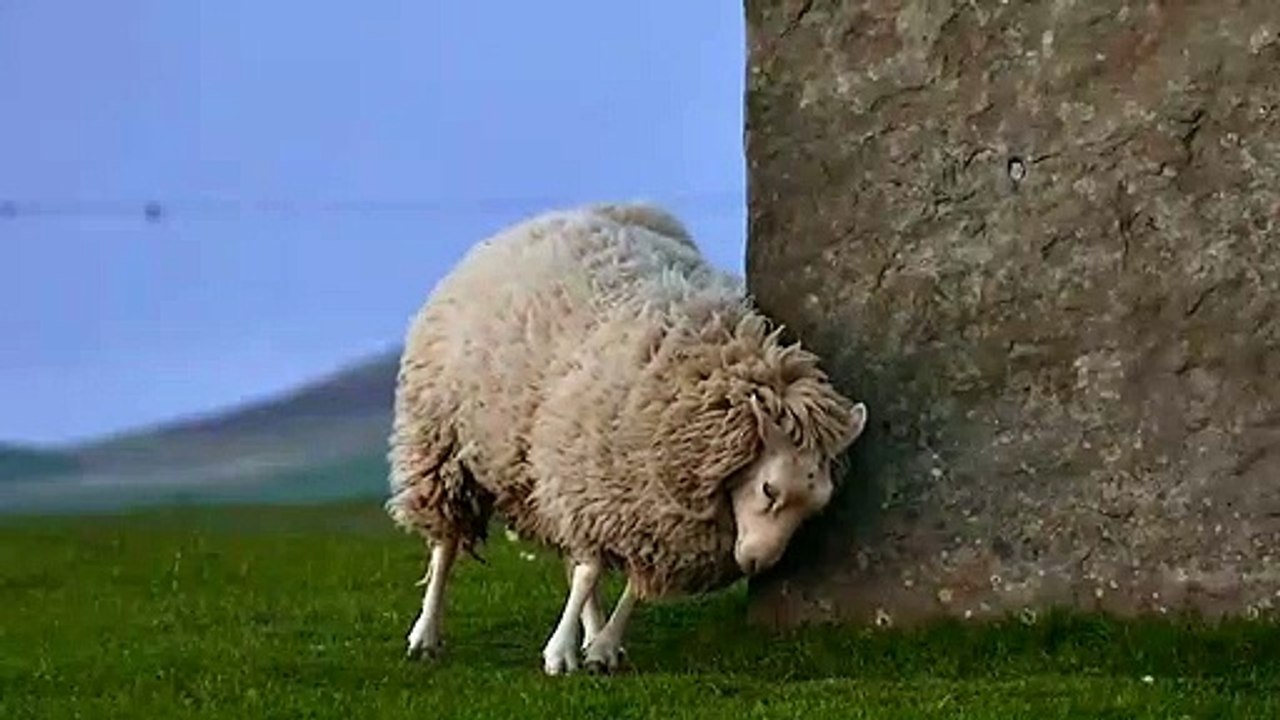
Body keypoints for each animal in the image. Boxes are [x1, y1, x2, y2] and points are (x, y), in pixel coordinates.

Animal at [385, 202, 868, 675]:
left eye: (816, 507)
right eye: (769, 489)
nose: (758, 563)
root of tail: (550, 216)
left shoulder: (652, 511)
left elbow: (629, 582)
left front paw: (603, 645)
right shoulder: (603, 482)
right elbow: (590, 572)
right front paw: (560, 652)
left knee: (570, 557)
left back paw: (590, 629)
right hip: (442, 444)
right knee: (446, 544)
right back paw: (425, 634)